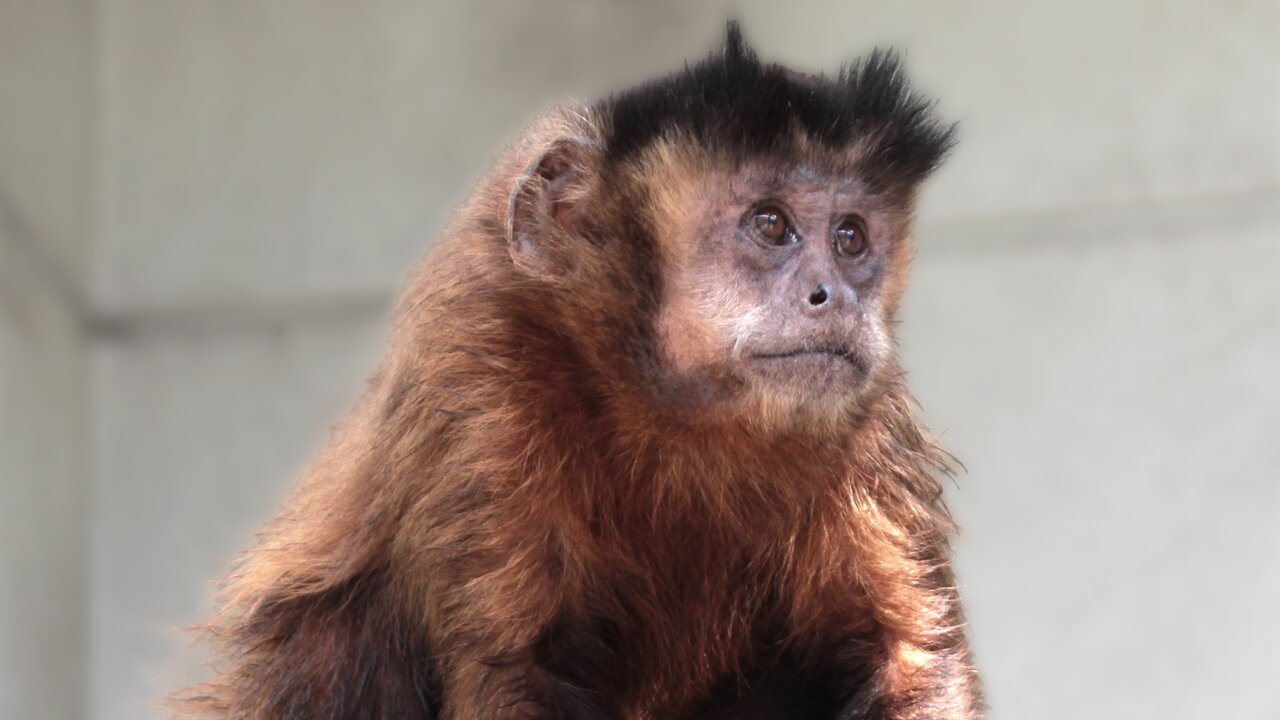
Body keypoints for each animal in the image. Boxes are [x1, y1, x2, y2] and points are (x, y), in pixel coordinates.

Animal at [175, 22, 983, 717]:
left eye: (850, 238)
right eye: (770, 225)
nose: (834, 297)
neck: (664, 407)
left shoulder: (864, 414)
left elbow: (904, 656)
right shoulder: (483, 364)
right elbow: (521, 665)